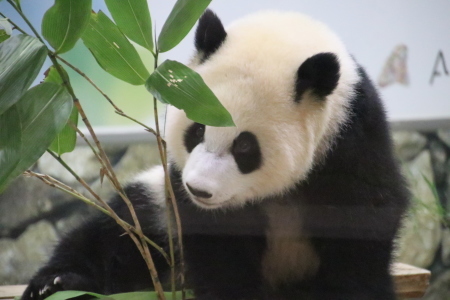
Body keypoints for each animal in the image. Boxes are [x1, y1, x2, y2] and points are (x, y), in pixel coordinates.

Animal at [21, 9, 410, 300]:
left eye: (245, 147)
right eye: (196, 131)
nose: (199, 190)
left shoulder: (350, 140)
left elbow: (360, 224)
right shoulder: (179, 189)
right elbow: (216, 241)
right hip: (156, 207)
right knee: (118, 230)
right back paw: (58, 283)